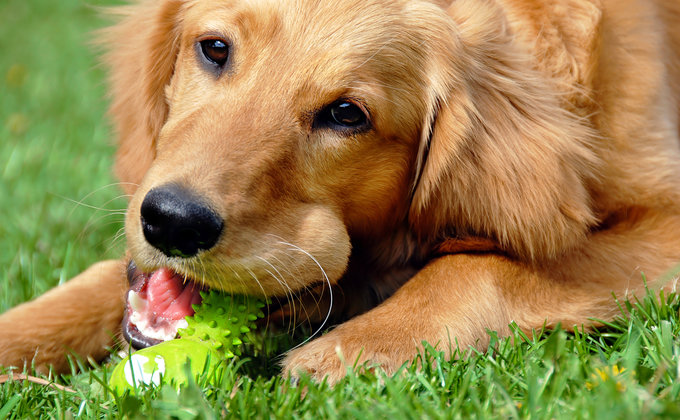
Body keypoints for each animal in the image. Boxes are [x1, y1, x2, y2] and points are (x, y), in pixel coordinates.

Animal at [1, 0, 680, 384]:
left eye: (347, 115)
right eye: (214, 48)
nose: (173, 222)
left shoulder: (662, 213)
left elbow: (481, 264)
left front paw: (355, 350)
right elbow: (94, 284)